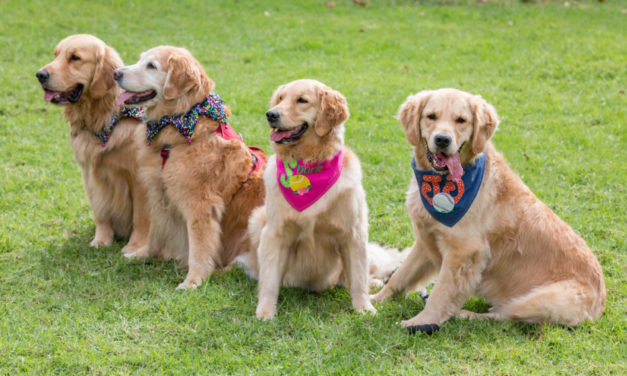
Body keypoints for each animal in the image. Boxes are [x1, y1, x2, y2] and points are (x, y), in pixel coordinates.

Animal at [36, 33, 150, 254]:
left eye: (75, 57)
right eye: (56, 55)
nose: (40, 75)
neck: (101, 121)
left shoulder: (139, 179)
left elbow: (141, 219)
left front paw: (135, 248)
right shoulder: (92, 175)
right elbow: (101, 213)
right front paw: (101, 240)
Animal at [114, 44, 266, 290]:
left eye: (151, 66)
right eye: (140, 60)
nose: (115, 73)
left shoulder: (200, 205)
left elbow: (199, 247)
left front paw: (193, 281)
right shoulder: (158, 193)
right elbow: (155, 232)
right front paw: (143, 254)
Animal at [236, 80, 408, 320]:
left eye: (302, 100)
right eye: (280, 99)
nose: (271, 114)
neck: (308, 164)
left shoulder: (353, 234)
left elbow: (358, 279)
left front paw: (364, 308)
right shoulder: (274, 233)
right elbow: (269, 281)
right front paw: (265, 313)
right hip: (256, 220)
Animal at [370, 89, 604, 334]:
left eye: (461, 120)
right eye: (431, 116)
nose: (442, 140)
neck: (440, 183)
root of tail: (599, 306)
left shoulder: (464, 251)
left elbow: (440, 293)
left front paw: (422, 321)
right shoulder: (426, 240)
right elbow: (400, 276)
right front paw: (374, 300)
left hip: (540, 300)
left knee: (503, 315)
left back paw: (465, 315)